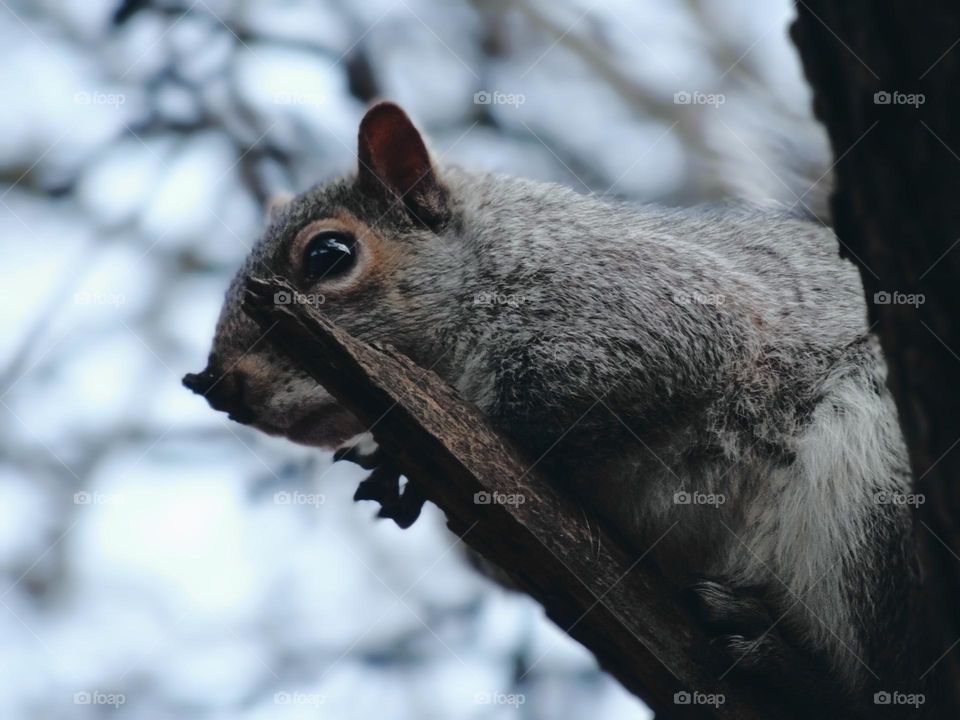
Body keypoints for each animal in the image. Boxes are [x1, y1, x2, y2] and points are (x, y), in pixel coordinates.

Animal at [184, 101, 928, 716]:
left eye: (328, 254)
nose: (217, 385)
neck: (498, 254)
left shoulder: (643, 305)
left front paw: (397, 457)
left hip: (876, 501)